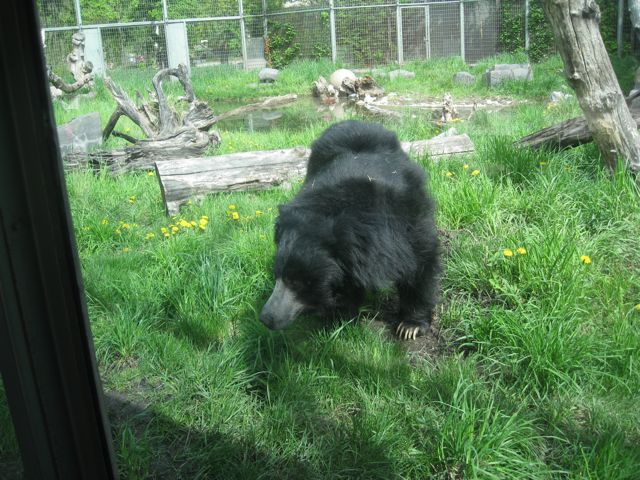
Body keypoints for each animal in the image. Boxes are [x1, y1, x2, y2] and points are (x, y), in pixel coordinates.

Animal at [260, 120, 440, 340]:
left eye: (296, 283)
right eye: (277, 274)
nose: (266, 318)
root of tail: (353, 121)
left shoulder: (410, 221)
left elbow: (421, 264)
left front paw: (409, 327)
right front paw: (339, 318)